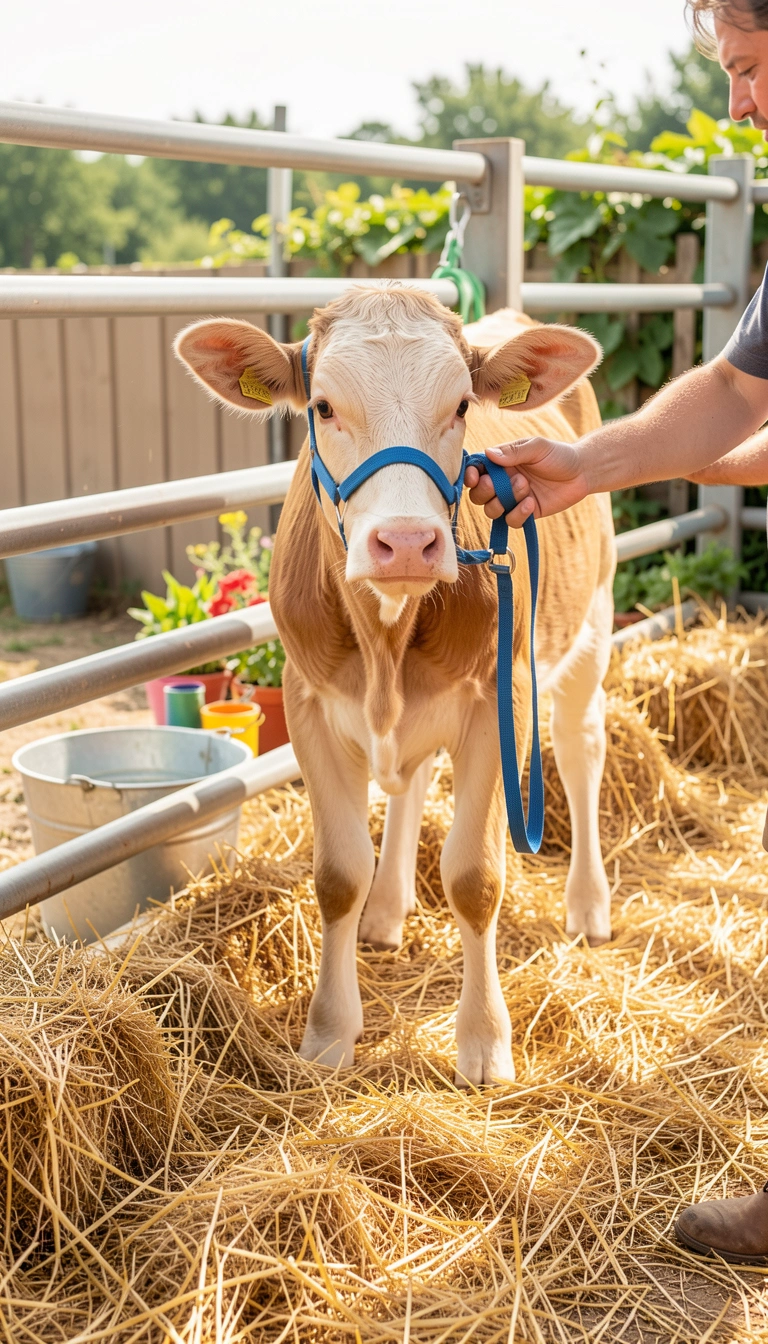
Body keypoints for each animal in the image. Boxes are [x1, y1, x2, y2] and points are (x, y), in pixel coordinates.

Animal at [175, 289, 615, 1086]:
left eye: (464, 405)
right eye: (322, 406)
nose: (407, 542)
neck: (384, 638)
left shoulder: (499, 698)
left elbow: (475, 878)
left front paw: (483, 1041)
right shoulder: (309, 704)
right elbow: (338, 876)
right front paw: (329, 1033)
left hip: (591, 624)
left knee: (580, 748)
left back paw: (588, 904)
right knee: (412, 781)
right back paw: (386, 912)